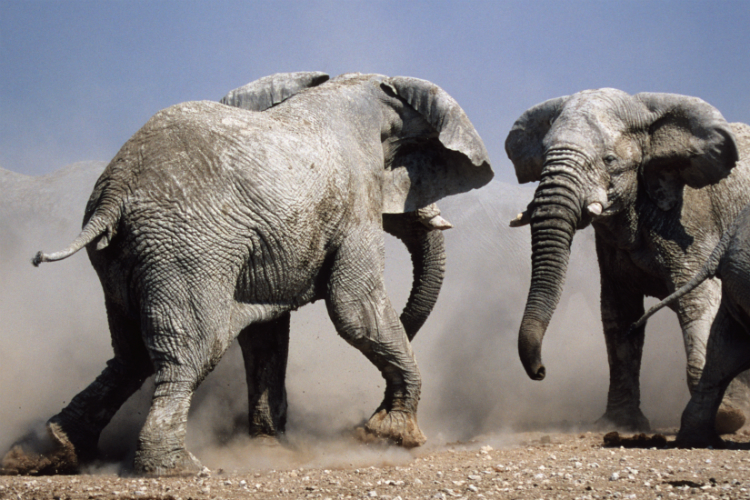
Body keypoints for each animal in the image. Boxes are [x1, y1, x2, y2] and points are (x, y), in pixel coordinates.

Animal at [7, 71, 500, 476]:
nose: (360, 421)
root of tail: (114, 195)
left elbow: (267, 335)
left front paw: (269, 449)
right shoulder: (355, 197)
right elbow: (353, 310)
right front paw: (393, 437)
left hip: (122, 257)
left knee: (131, 356)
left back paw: (44, 453)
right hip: (188, 249)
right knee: (191, 350)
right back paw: (177, 469)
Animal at [506, 88, 750, 432]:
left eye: (609, 160)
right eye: (543, 156)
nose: (541, 372)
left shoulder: (693, 222)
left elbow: (699, 302)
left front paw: (726, 419)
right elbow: (618, 316)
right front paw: (618, 425)